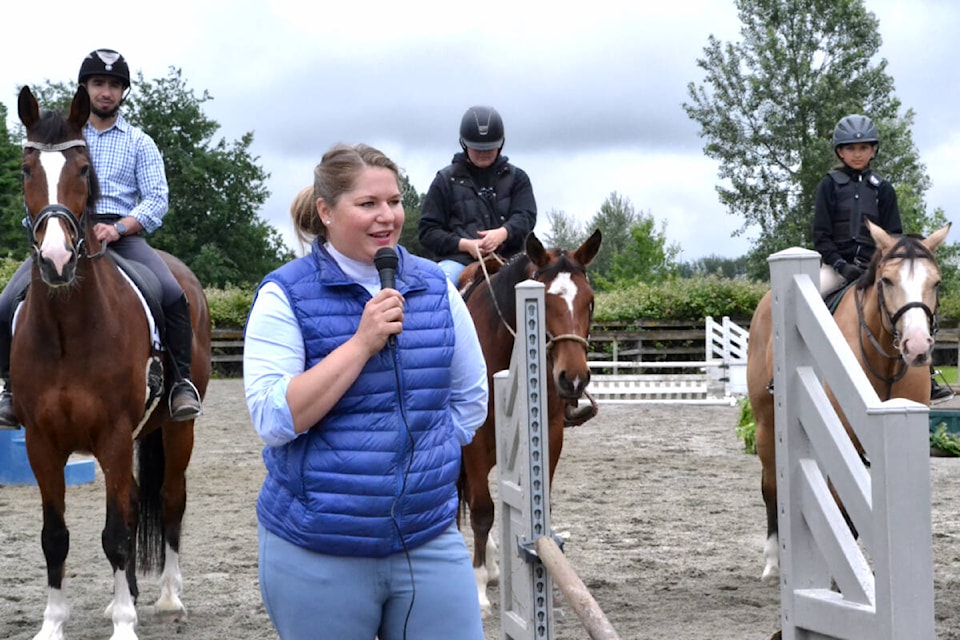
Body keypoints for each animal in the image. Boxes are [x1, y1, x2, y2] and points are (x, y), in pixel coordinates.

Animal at [15, 86, 211, 640]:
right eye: (25, 169)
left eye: (84, 169)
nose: (57, 261)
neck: (68, 329)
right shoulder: (41, 442)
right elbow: (55, 536)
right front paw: (52, 624)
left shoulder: (115, 436)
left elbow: (118, 532)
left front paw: (125, 624)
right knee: (134, 502)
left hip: (175, 430)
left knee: (169, 501)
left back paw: (167, 598)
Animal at [458, 231, 600, 616]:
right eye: (543, 300)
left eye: (590, 301)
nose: (573, 379)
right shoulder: (474, 440)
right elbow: (482, 511)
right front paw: (478, 591)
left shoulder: (550, 433)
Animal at [748, 221, 948, 584]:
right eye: (887, 281)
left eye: (936, 282)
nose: (916, 347)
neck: (884, 361)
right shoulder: (844, 437)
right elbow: (842, 506)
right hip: (766, 423)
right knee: (770, 486)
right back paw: (772, 563)